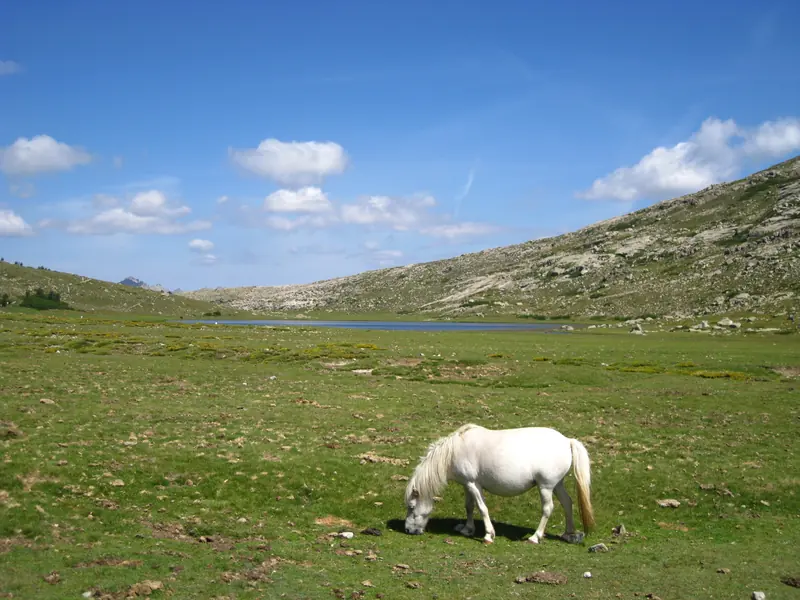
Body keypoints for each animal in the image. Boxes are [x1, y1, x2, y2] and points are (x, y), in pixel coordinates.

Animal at [403, 423, 594, 544]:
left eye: (411, 507)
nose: (408, 530)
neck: (454, 451)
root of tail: (567, 441)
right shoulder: (467, 484)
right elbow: (469, 506)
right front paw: (467, 529)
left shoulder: (474, 484)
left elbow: (482, 508)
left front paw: (488, 535)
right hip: (557, 485)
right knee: (567, 502)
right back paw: (569, 534)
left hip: (545, 487)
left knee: (548, 508)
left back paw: (535, 537)